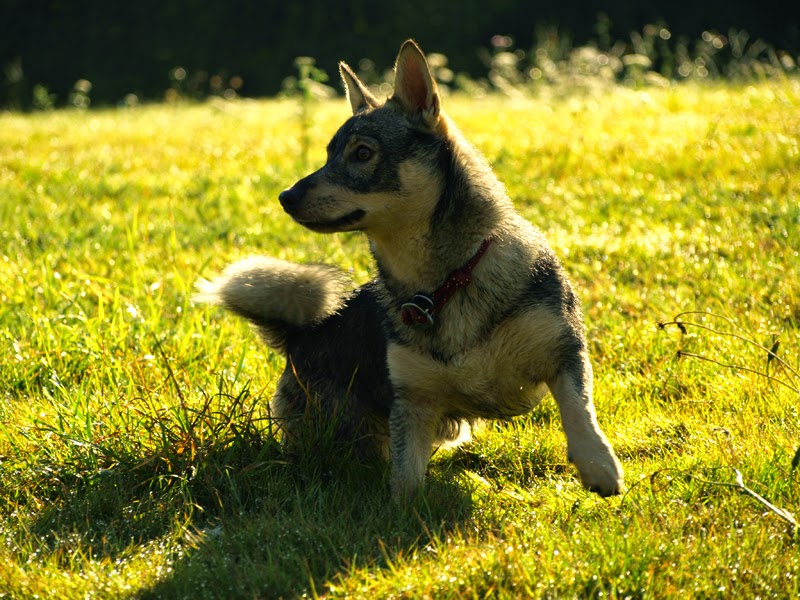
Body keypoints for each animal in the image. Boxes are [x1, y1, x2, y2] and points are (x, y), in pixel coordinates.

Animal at [195, 38, 624, 502]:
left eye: (362, 153)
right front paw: (403, 512)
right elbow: (404, 483)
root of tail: (299, 336)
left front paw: (598, 464)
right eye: (328, 156)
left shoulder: (565, 352)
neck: (445, 283)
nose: (285, 196)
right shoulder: (413, 405)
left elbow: (578, 410)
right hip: (344, 436)